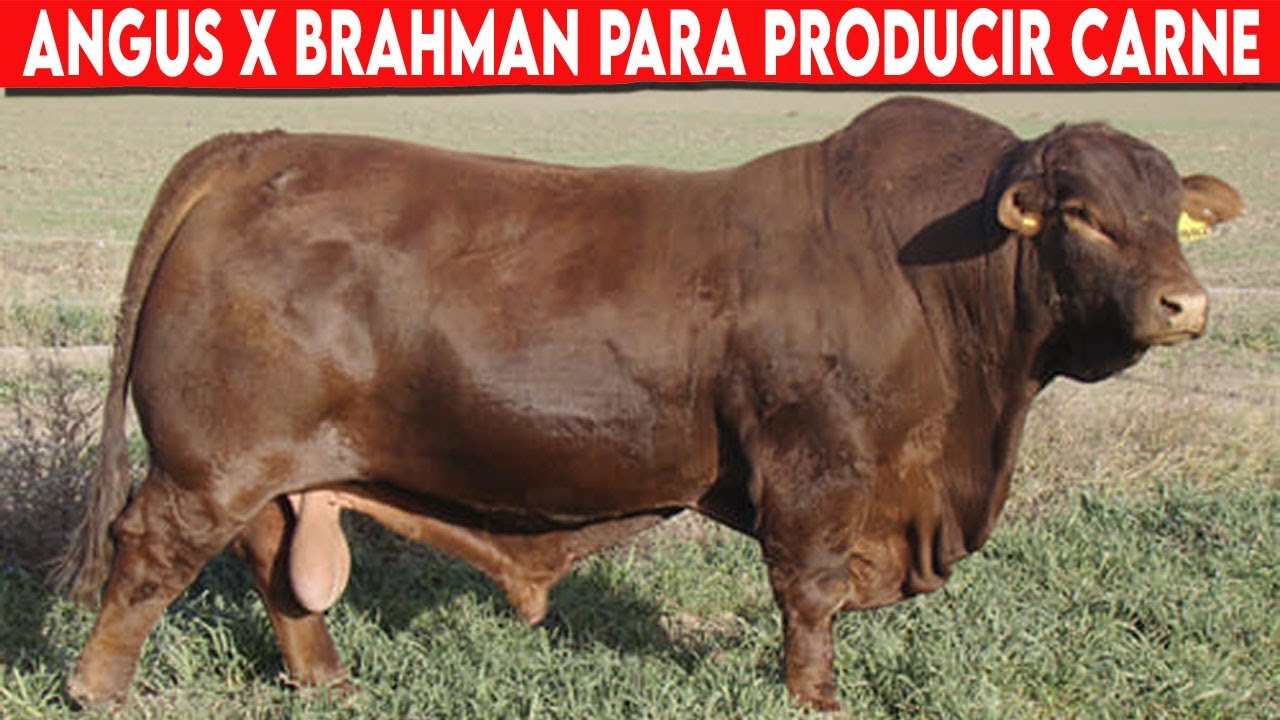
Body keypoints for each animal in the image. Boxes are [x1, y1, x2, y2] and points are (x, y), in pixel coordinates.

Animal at [56, 97, 1241, 713]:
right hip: (211, 459)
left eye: (1168, 214)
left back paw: (330, 682)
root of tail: (259, 148)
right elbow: (807, 596)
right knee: (151, 552)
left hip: (269, 464)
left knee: (271, 560)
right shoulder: (819, 470)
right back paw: (98, 691)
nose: (1184, 303)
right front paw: (813, 697)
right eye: (1080, 214)